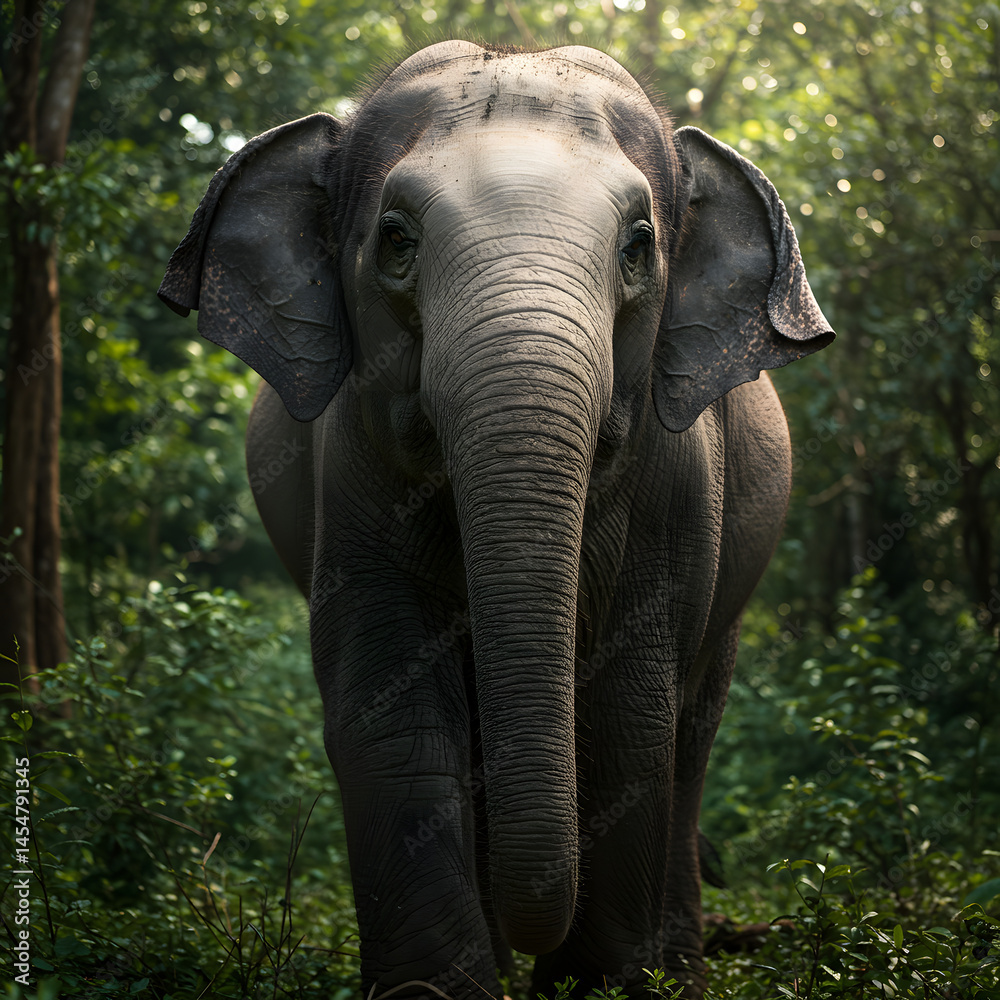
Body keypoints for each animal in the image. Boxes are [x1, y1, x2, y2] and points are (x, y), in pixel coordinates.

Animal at [158, 40, 833, 1000]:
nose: (535, 940)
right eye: (396, 239)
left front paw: (603, 984)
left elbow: (628, 725)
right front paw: (442, 985)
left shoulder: (676, 490)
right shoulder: (351, 473)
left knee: (691, 738)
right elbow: (390, 714)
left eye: (639, 246)